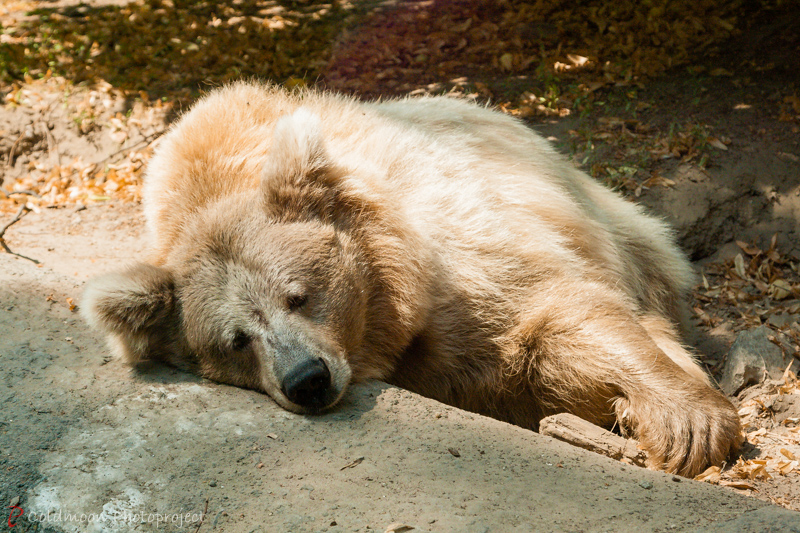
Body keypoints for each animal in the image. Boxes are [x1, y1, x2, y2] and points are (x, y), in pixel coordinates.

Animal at [84, 81, 740, 476]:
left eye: (298, 294)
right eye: (236, 340)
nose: (307, 380)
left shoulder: (466, 253)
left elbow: (554, 318)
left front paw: (686, 424)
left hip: (602, 215)